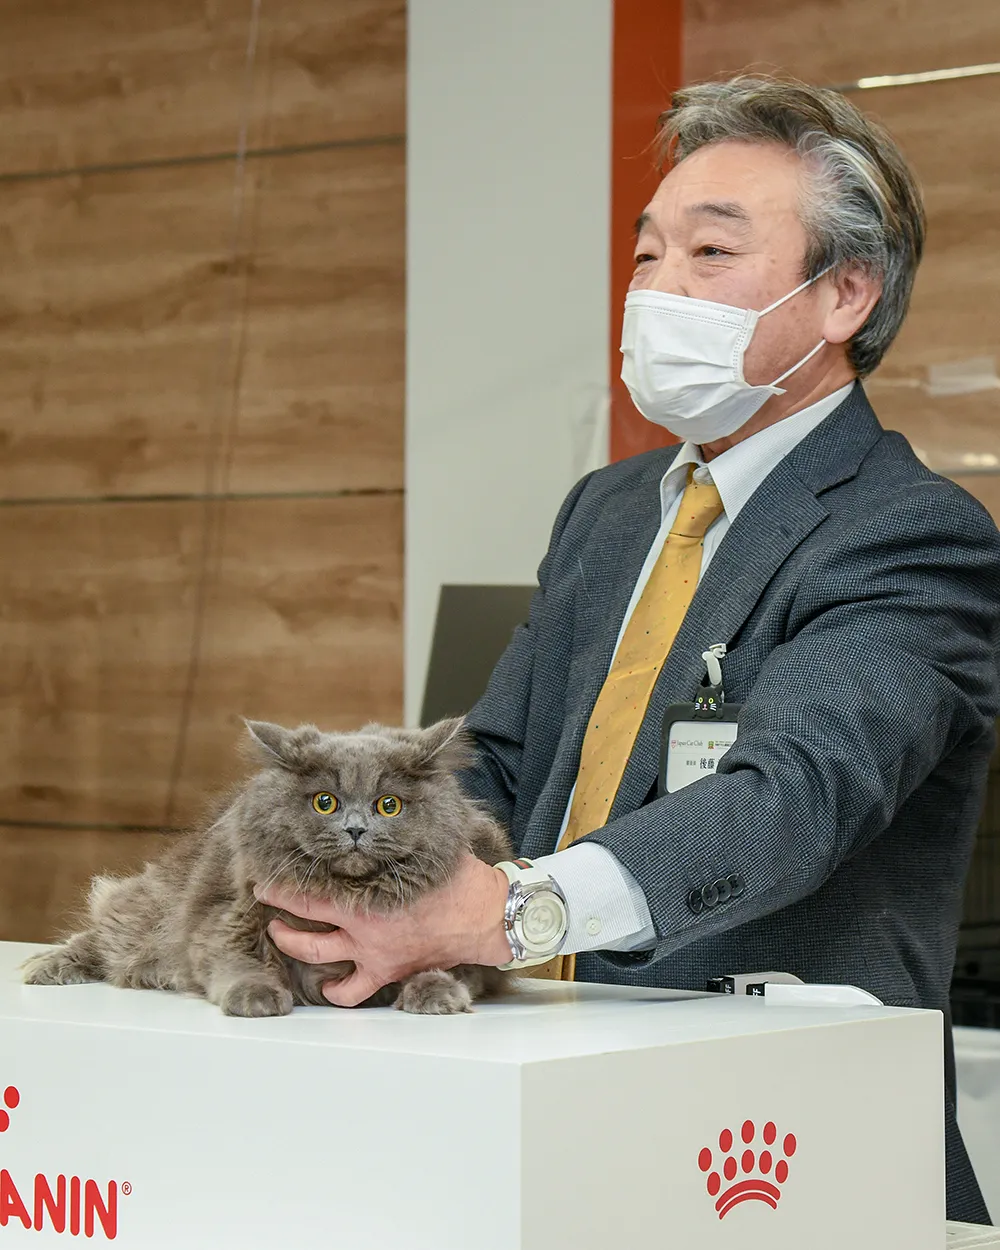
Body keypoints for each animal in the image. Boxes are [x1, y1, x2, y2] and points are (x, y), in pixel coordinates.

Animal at [22, 716, 514, 1016]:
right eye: (325, 802)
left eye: (388, 805)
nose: (356, 829)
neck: (347, 891)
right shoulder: (227, 919)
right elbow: (240, 964)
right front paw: (255, 998)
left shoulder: (452, 949)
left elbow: (447, 970)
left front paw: (436, 994)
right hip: (150, 909)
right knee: (105, 932)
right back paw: (47, 967)